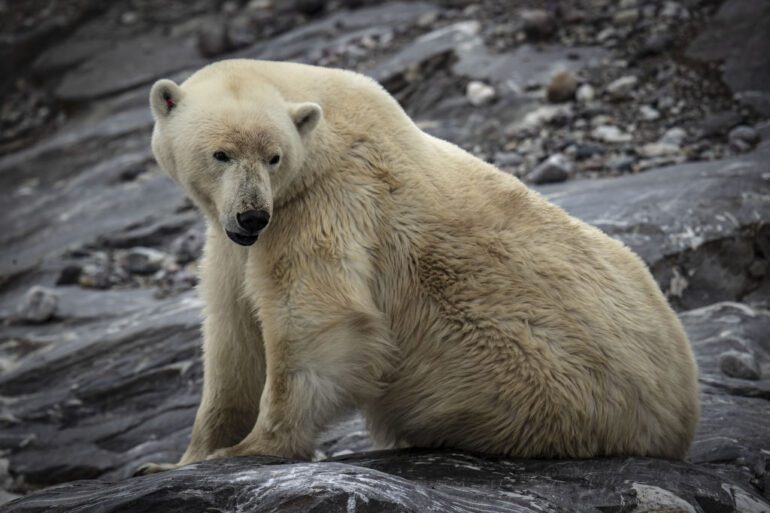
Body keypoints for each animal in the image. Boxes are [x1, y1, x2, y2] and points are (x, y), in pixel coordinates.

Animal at [138, 59, 699, 474]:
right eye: (221, 154)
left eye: (274, 157)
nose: (252, 215)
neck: (327, 125)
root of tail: (684, 412)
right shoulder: (237, 240)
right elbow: (233, 338)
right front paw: (177, 461)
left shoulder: (327, 203)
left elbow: (316, 320)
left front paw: (251, 448)